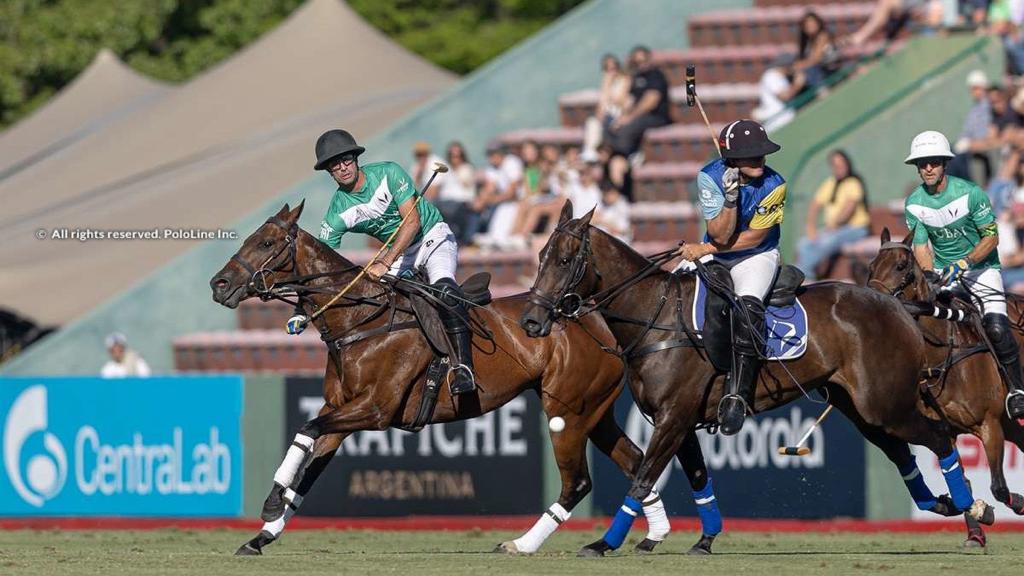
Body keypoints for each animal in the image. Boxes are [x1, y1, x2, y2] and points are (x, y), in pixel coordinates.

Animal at [207, 202, 663, 557]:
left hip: (567, 413)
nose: (218, 284)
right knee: (637, 462)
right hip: (595, 411)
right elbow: (308, 466)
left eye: (267, 243)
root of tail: (596, 318)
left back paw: (522, 544)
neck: (359, 319)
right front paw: (263, 534)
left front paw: (271, 503)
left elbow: (305, 431)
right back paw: (651, 534)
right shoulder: (340, 409)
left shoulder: (374, 409)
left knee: (578, 483)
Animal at [520, 202, 991, 557]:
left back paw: (972, 509)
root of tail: (898, 308)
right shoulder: (678, 421)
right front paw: (705, 539)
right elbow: (696, 477)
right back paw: (951, 504)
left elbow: (643, 478)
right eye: (539, 258)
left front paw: (604, 543)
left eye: (565, 260)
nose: (531, 321)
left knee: (940, 437)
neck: (656, 318)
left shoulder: (673, 418)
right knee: (902, 451)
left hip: (885, 403)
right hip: (861, 409)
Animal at [868, 224, 1024, 532]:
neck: (941, 355)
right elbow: (962, 480)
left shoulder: (989, 424)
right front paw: (976, 529)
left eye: (901, 266)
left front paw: (1015, 504)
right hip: (1008, 422)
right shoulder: (949, 430)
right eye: (870, 266)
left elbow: (999, 488)